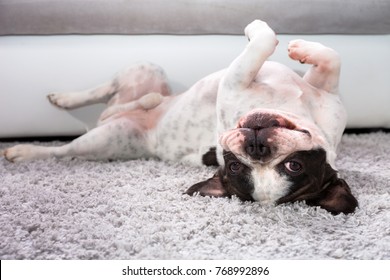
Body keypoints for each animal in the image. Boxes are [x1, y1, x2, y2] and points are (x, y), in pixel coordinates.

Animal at [3, 20, 358, 214]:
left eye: (293, 166)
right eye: (234, 166)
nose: (257, 147)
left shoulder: (237, 79)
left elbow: (263, 41)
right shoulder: (325, 90)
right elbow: (332, 57)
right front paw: (301, 48)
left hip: (106, 139)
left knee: (64, 150)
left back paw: (23, 151)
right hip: (148, 70)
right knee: (111, 94)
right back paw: (68, 98)